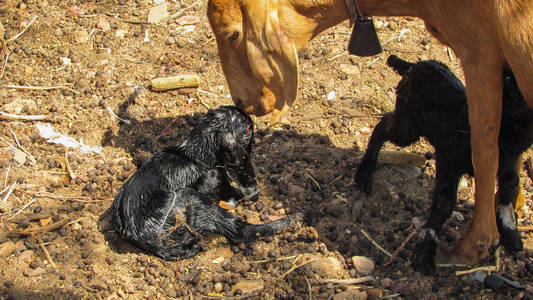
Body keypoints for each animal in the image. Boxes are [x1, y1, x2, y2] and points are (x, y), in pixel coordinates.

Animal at [207, 0, 532, 268]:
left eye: (233, 34)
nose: (241, 104)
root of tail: (411, 66)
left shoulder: (481, 53)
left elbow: (485, 151)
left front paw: (476, 245)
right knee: (384, 127)